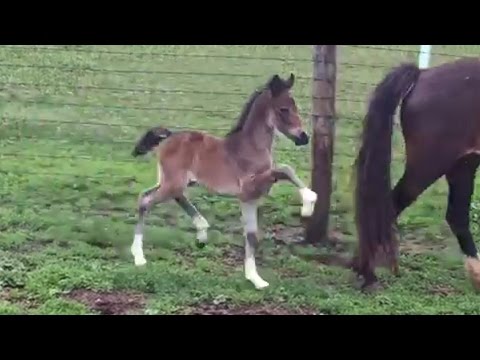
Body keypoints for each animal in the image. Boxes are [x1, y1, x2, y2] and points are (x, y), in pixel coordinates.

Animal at [131, 74, 316, 290]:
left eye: (296, 107)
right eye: (283, 109)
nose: (303, 137)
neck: (250, 147)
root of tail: (169, 136)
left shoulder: (250, 198)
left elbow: (252, 237)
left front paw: (255, 278)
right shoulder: (248, 189)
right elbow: (286, 169)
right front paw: (309, 203)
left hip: (178, 182)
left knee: (161, 196)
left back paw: (201, 233)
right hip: (173, 182)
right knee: (147, 200)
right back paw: (139, 257)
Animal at [354, 57, 480, 292]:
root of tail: (423, 74)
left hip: (463, 162)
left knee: (457, 216)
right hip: (430, 164)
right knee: (389, 208)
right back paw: (368, 274)